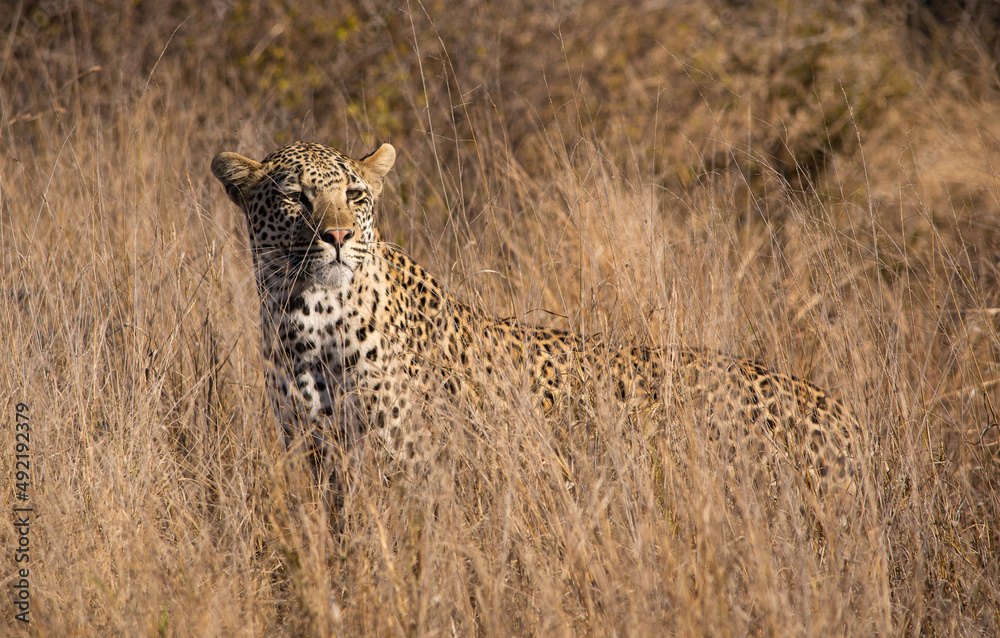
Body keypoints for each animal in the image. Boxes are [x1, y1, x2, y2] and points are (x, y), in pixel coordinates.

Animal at [211, 141, 863, 503]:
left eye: (354, 194)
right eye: (295, 197)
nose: (339, 236)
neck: (306, 319)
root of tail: (846, 414)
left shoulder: (408, 469)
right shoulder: (317, 460)